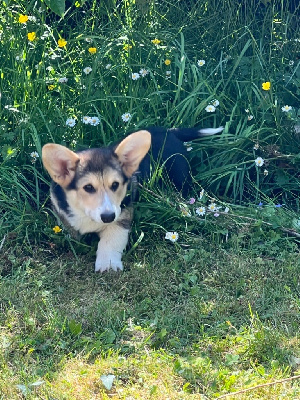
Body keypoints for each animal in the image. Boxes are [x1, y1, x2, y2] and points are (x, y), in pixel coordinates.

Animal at [42, 126, 223, 274]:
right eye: (88, 187)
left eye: (115, 185)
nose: (108, 217)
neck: (87, 216)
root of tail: (170, 130)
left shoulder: (122, 216)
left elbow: (110, 241)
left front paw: (108, 264)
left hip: (179, 177)